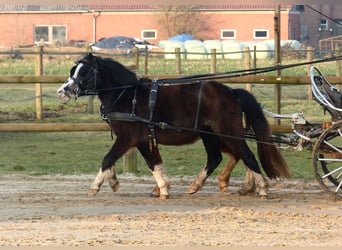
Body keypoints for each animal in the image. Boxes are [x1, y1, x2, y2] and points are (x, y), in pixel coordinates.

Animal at [57, 53, 290, 199]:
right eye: (73, 70)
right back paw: (202, 185)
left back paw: (261, 188)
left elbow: (109, 158)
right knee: (218, 157)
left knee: (246, 155)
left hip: (227, 132)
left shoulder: (128, 137)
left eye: (84, 72)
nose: (62, 91)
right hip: (210, 135)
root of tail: (232, 92)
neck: (128, 95)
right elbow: (154, 163)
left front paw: (96, 186)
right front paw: (161, 188)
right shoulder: (143, 140)